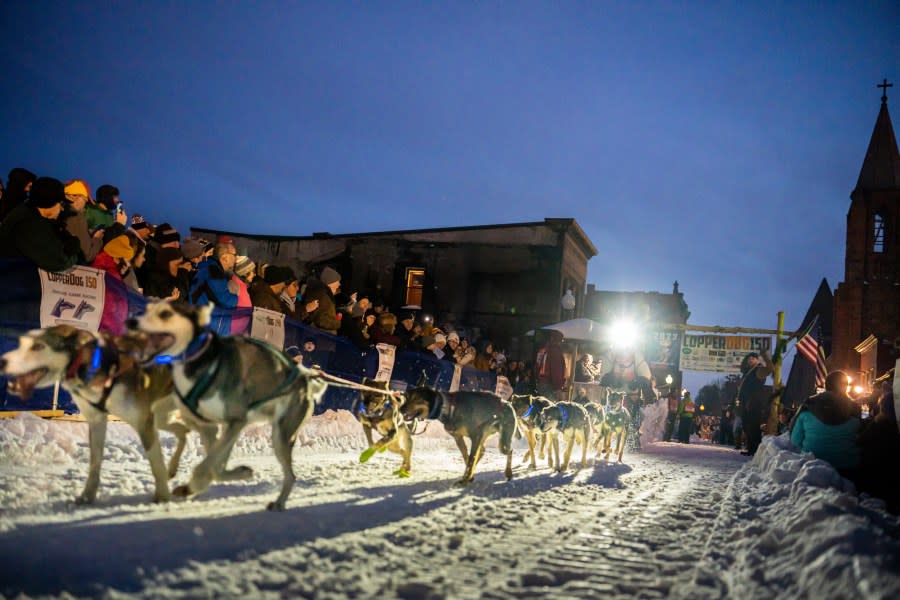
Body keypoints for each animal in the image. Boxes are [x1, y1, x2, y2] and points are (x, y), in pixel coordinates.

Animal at [132, 300, 328, 510]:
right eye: (148, 308)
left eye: (166, 313)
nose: (131, 321)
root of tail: (305, 380)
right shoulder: (210, 426)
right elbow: (213, 465)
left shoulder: (233, 422)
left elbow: (208, 465)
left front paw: (193, 485)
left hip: (279, 435)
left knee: (291, 476)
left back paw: (278, 503)